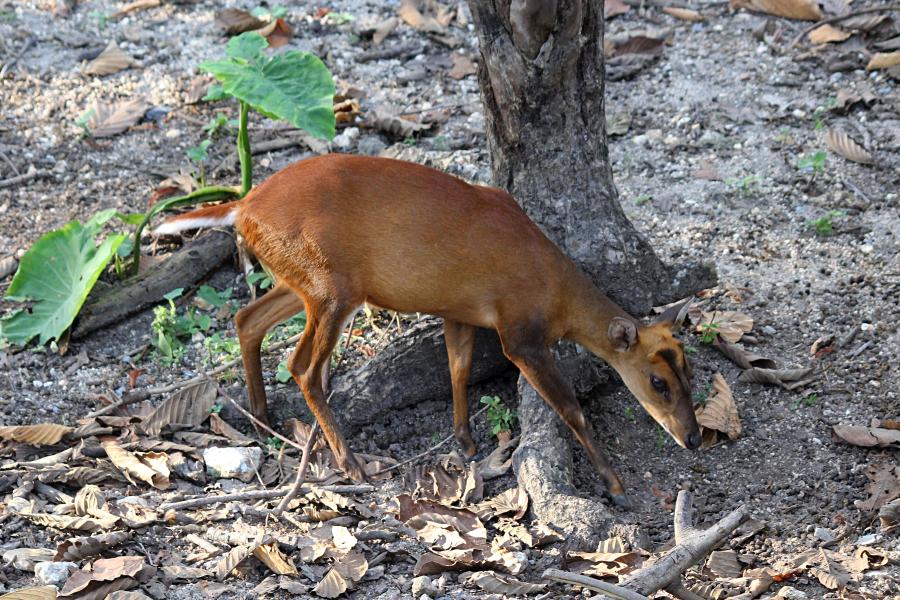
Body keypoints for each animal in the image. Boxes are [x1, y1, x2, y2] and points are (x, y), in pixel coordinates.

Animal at [158, 155, 700, 506]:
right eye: (658, 382)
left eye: (690, 375)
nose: (694, 439)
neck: (555, 290)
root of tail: (244, 205)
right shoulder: (520, 334)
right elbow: (571, 409)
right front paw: (616, 486)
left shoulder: (460, 311)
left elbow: (457, 368)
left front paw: (465, 441)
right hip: (330, 285)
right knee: (302, 365)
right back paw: (349, 462)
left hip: (304, 278)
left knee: (246, 319)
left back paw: (262, 417)